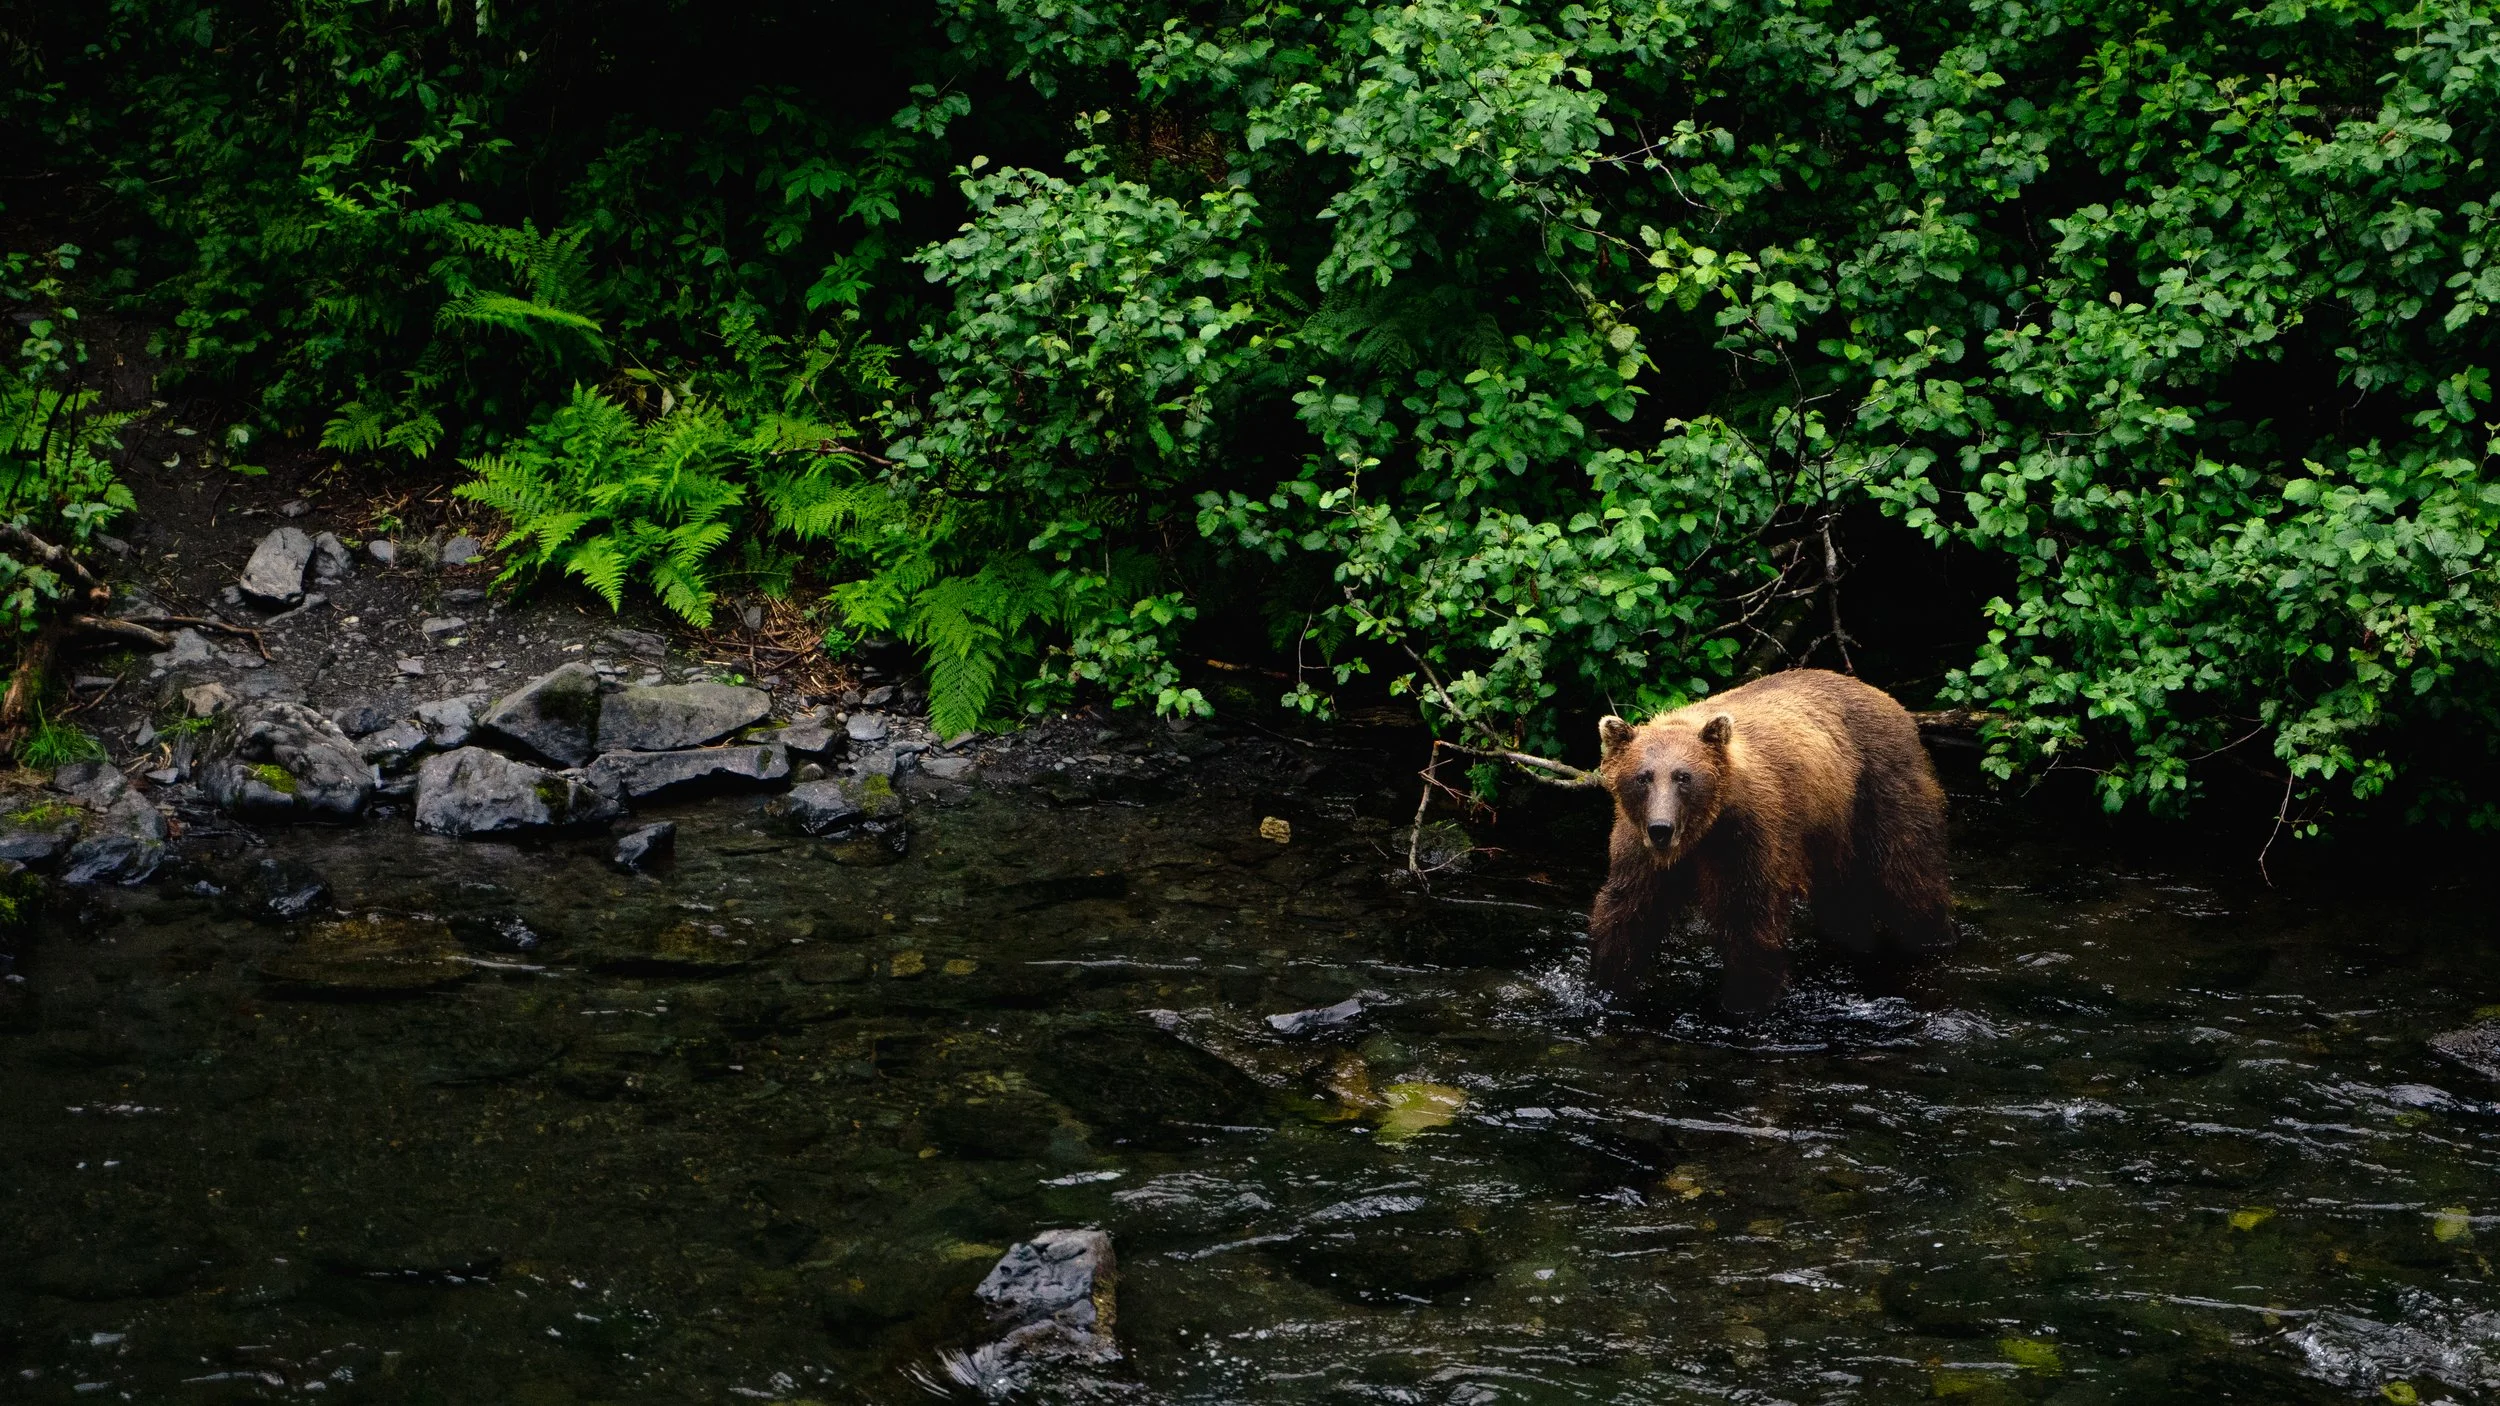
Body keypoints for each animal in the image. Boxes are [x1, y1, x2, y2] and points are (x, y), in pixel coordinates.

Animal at [1586, 668, 1951, 1015]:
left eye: (1683, 777)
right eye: (1643, 777)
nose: (1661, 828)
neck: (1701, 832)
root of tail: (1887, 698)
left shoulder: (1747, 835)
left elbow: (1749, 917)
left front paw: (1745, 1001)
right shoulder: (1639, 845)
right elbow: (1628, 910)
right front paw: (1608, 986)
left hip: (1878, 786)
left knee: (1907, 872)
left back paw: (1930, 936)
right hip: (1831, 834)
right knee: (1842, 898)